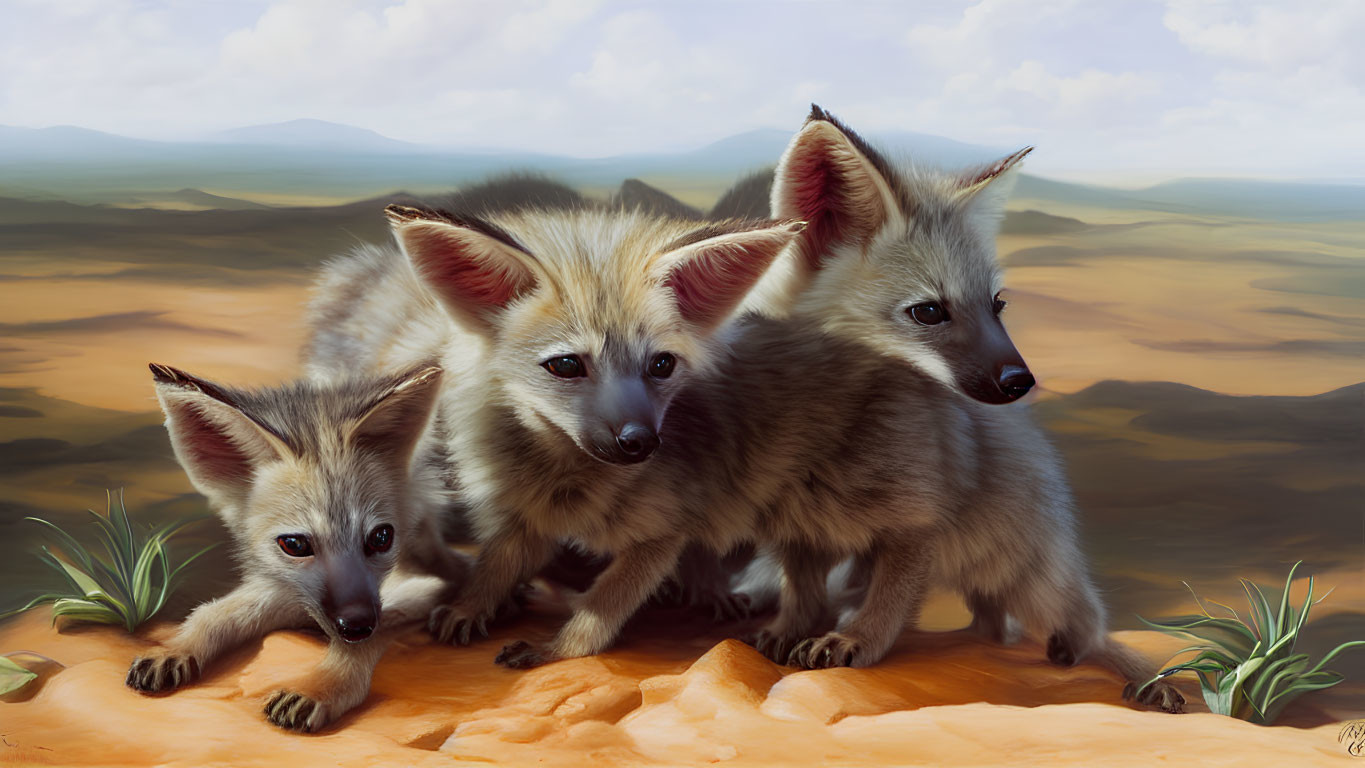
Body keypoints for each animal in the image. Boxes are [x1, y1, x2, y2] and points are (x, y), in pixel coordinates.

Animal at [128, 360, 469, 731]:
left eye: (381, 538)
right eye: (294, 544)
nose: (357, 625)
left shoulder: (428, 585)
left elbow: (364, 642)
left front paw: (318, 688)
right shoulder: (285, 587)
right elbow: (215, 614)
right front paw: (174, 649)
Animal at [304, 207, 802, 657]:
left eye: (662, 364)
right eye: (565, 365)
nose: (639, 441)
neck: (568, 481)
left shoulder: (667, 515)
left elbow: (613, 593)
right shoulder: (518, 508)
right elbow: (496, 563)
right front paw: (472, 607)